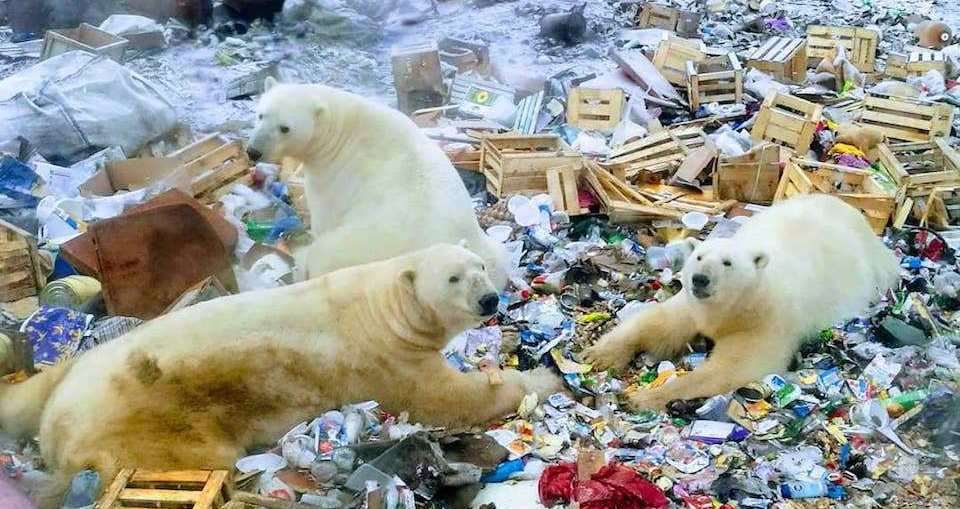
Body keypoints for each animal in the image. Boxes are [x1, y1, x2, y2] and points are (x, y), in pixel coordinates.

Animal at [0, 245, 562, 508]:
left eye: (480, 266)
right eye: (452, 278)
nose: (489, 299)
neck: (385, 309)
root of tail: (55, 426)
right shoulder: (386, 359)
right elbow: (447, 399)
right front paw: (545, 381)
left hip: (73, 371)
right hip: (145, 425)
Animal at [245, 78, 508, 290]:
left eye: (285, 128)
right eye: (260, 114)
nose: (253, 151)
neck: (341, 127)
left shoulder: (333, 173)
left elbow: (324, 217)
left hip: (365, 246)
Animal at [582, 194, 899, 410]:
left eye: (727, 263)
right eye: (699, 256)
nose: (700, 279)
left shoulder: (764, 322)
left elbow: (731, 367)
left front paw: (643, 397)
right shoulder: (693, 307)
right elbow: (657, 324)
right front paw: (598, 355)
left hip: (871, 270)